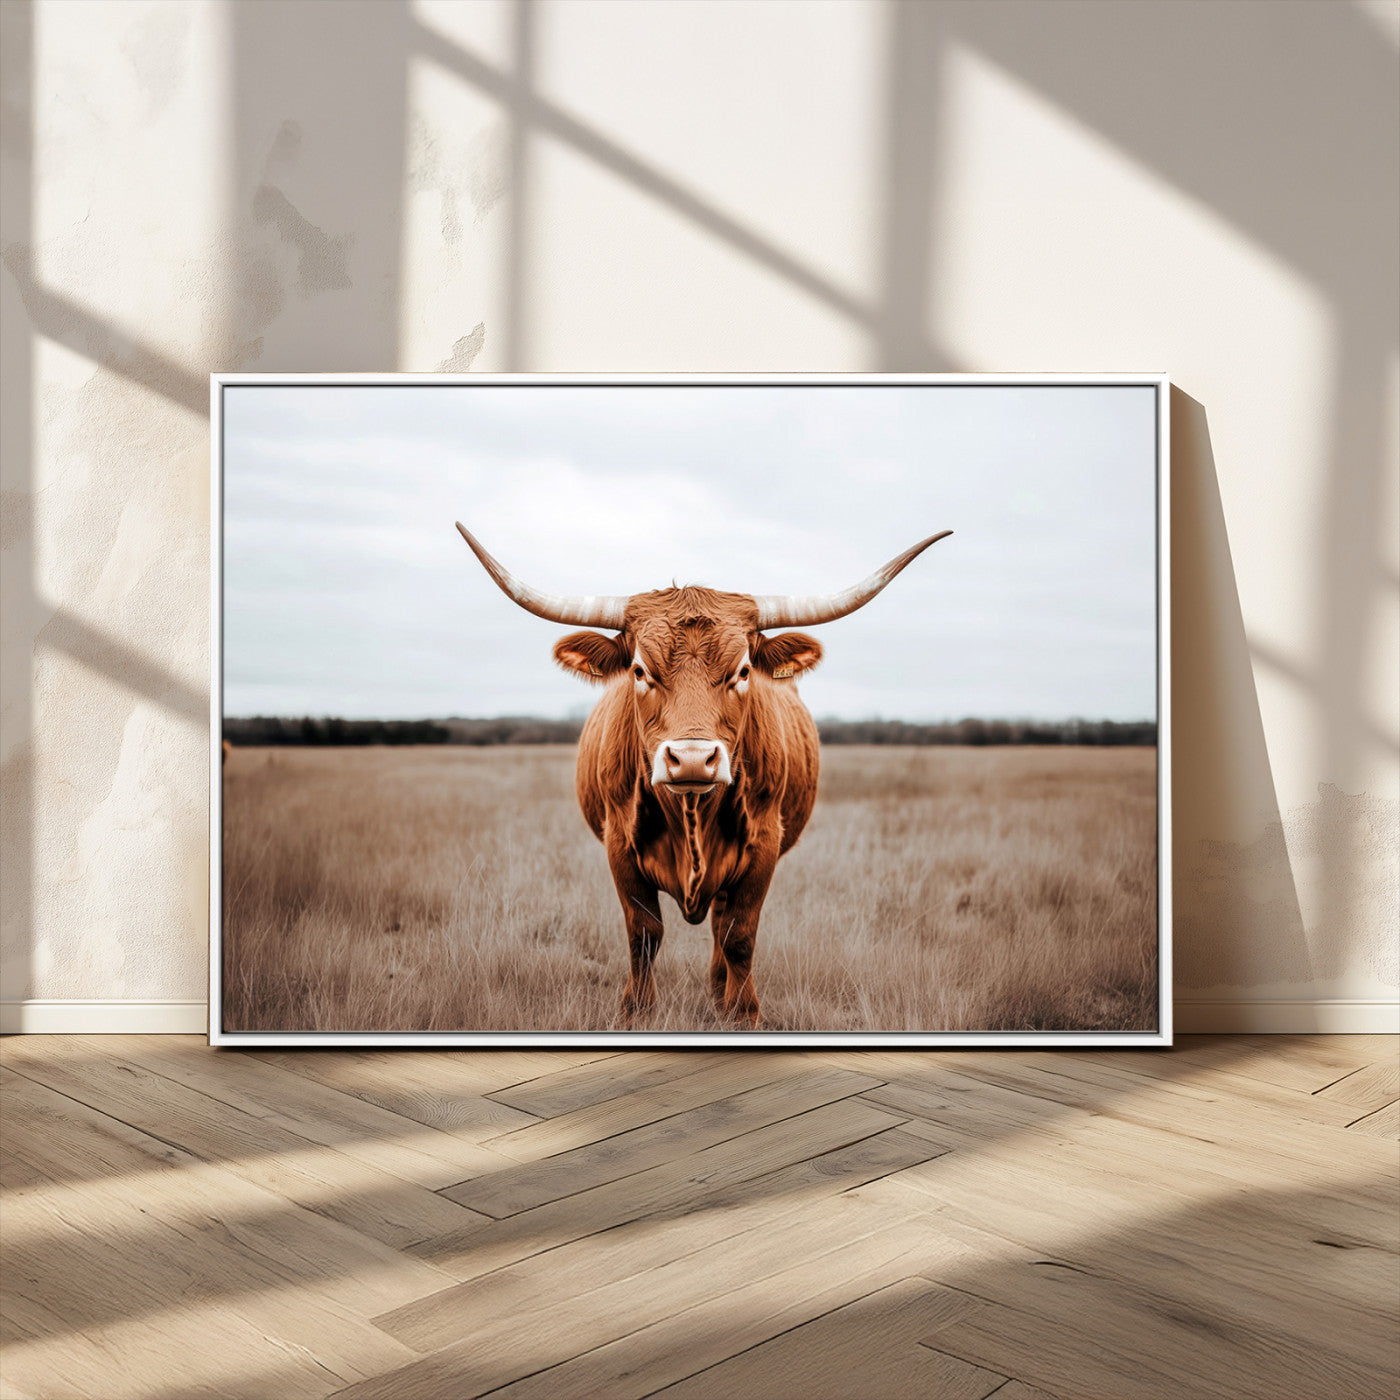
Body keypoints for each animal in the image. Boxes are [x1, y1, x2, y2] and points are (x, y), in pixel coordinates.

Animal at [456, 523, 951, 1027]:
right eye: (639, 670)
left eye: (743, 671)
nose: (692, 759)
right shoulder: (619, 844)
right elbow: (644, 933)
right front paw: (637, 1012)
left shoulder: (764, 845)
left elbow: (739, 935)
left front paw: (743, 1013)